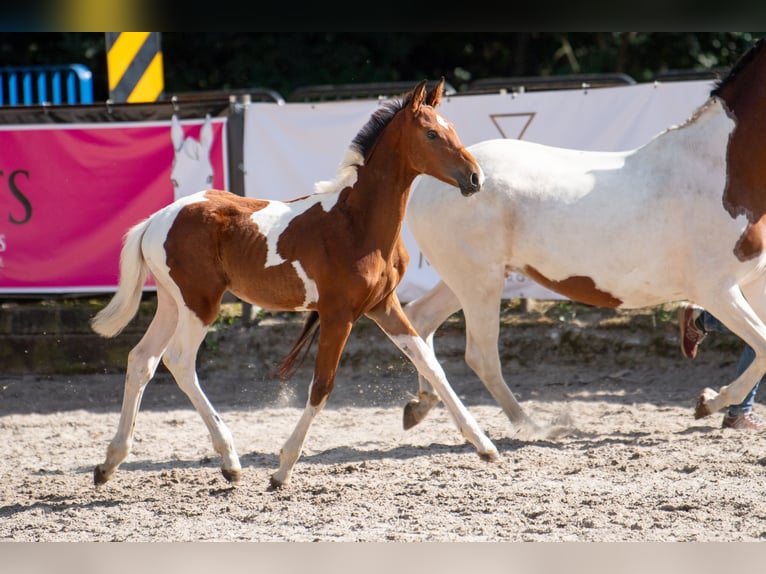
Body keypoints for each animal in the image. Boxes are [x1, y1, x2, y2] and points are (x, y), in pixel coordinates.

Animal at [90, 79, 495, 490]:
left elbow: (431, 364)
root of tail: (156, 219)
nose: (475, 178)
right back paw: (229, 460)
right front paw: (282, 468)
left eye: (452, 129)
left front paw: (484, 445)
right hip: (201, 303)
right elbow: (322, 386)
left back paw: (109, 462)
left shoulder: (383, 305)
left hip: (173, 303)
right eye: (431, 133)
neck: (357, 223)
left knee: (142, 359)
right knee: (179, 361)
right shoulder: (337, 314)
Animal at [402, 39, 766, 435]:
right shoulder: (716, 290)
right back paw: (532, 426)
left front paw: (712, 402)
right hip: (478, 281)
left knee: (420, 319)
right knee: (480, 354)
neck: (720, 172)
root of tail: (431, 181)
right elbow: (763, 347)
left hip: (467, 279)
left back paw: (419, 406)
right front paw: (708, 402)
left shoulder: (753, 282)